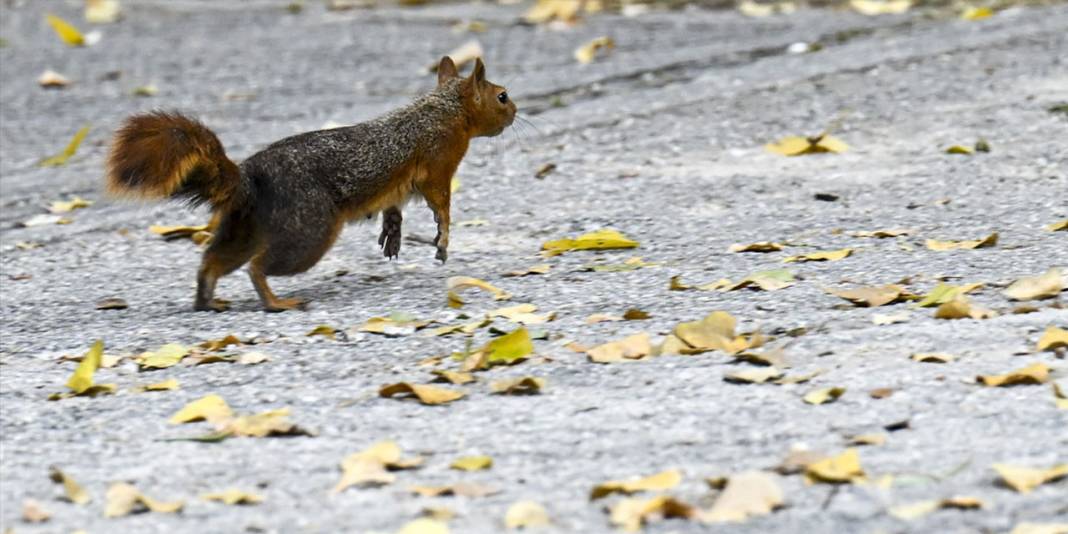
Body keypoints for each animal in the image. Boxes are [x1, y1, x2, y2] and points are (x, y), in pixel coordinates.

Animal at [106, 56, 514, 311]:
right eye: (502, 96)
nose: (516, 111)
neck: (443, 110)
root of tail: (250, 180)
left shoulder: (400, 183)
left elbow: (393, 205)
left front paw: (393, 231)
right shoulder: (438, 164)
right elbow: (441, 205)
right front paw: (442, 240)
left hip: (246, 226)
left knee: (213, 262)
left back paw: (208, 299)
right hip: (310, 229)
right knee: (257, 266)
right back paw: (276, 302)